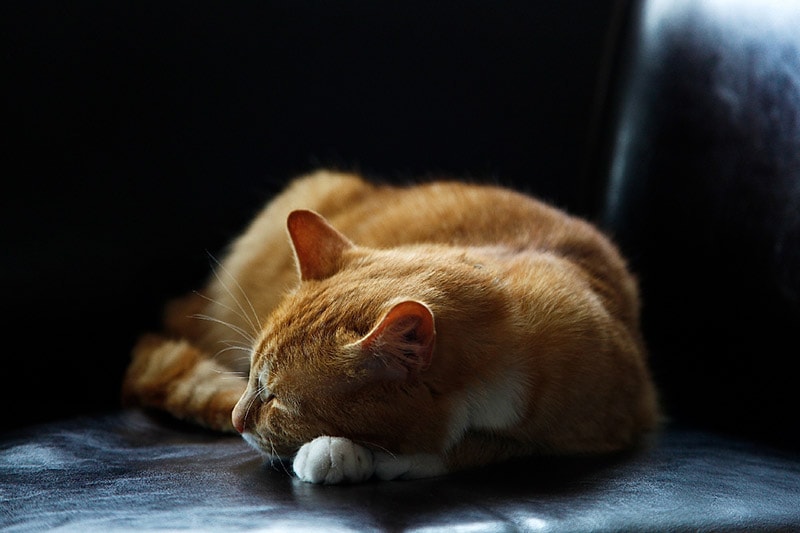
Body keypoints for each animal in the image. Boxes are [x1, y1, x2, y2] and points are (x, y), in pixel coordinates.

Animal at [122, 169, 660, 482]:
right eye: (251, 377)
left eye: (277, 400)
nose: (236, 420)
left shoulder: (610, 426)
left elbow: (478, 448)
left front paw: (358, 455)